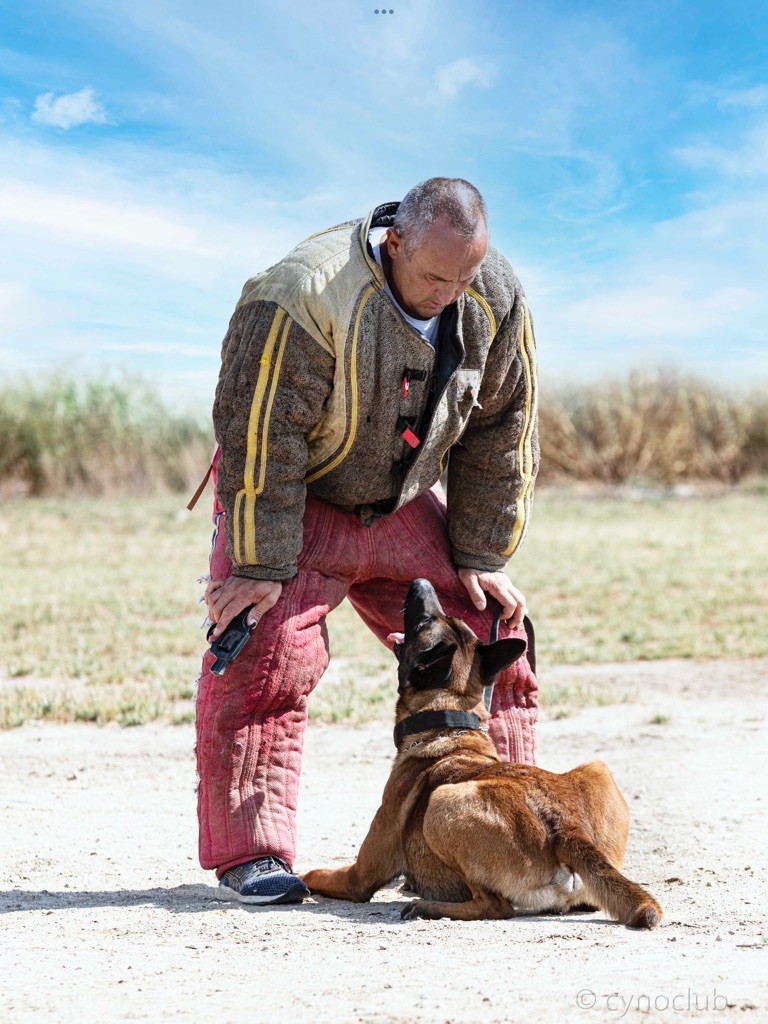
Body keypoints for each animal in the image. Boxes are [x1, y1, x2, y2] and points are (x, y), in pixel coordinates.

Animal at [303, 577, 663, 929]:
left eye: (422, 623)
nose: (421, 581)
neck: (449, 721)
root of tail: (565, 828)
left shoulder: (359, 876)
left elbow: (315, 874)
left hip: (442, 803)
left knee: (494, 906)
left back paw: (428, 907)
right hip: (596, 767)